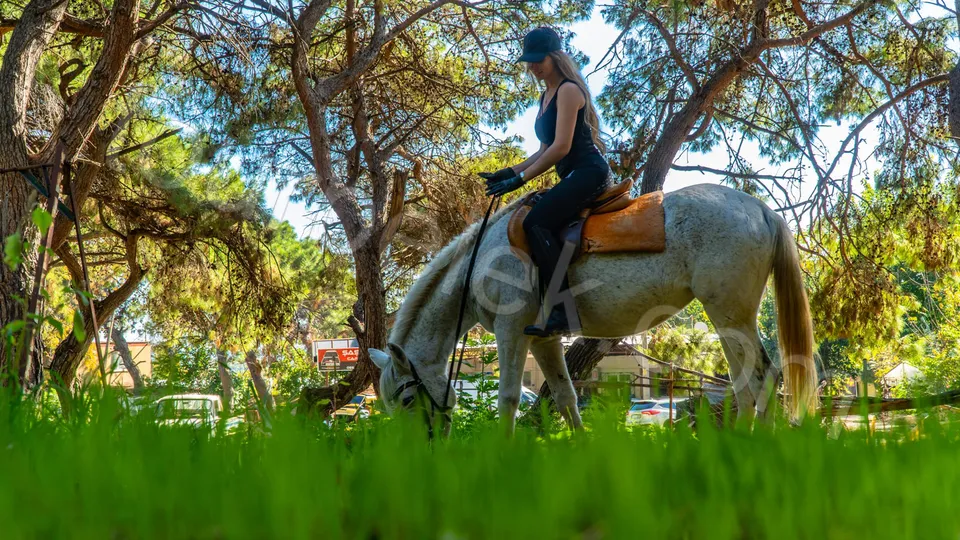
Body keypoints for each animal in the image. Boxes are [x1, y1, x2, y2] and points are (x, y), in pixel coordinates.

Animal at [368, 183, 816, 435]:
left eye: (406, 400)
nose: (418, 454)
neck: (479, 262)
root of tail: (759, 209)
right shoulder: (544, 340)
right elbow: (565, 397)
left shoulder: (511, 331)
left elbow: (509, 398)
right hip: (727, 321)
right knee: (743, 385)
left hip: (730, 314)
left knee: (763, 376)